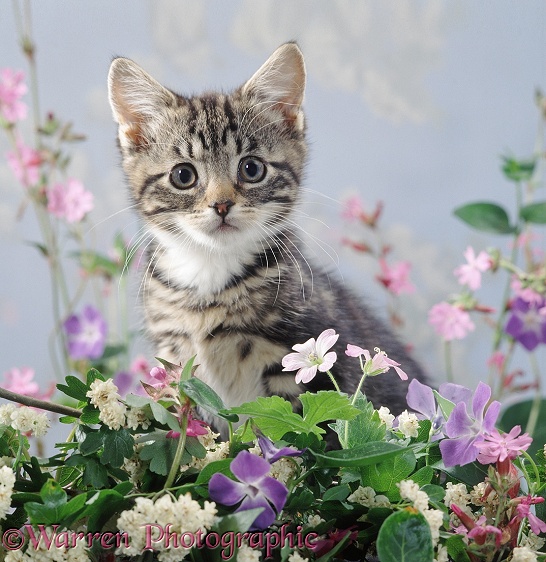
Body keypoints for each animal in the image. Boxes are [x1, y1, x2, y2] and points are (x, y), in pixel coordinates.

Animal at [107, 43, 424, 430]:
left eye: (252, 168)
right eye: (183, 175)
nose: (222, 204)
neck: (210, 279)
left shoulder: (309, 365)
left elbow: (301, 431)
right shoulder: (177, 366)